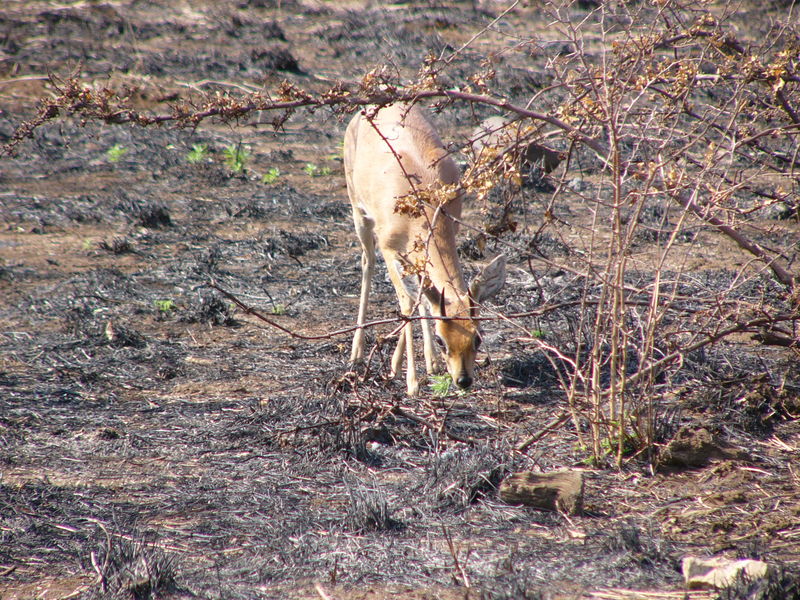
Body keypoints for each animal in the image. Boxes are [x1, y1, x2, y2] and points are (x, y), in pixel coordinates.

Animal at [340, 101, 504, 396]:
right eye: (442, 340)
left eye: (477, 337)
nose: (463, 380)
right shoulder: (390, 251)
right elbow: (408, 303)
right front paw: (412, 383)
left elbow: (426, 299)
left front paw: (416, 365)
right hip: (359, 215)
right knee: (367, 264)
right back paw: (356, 354)